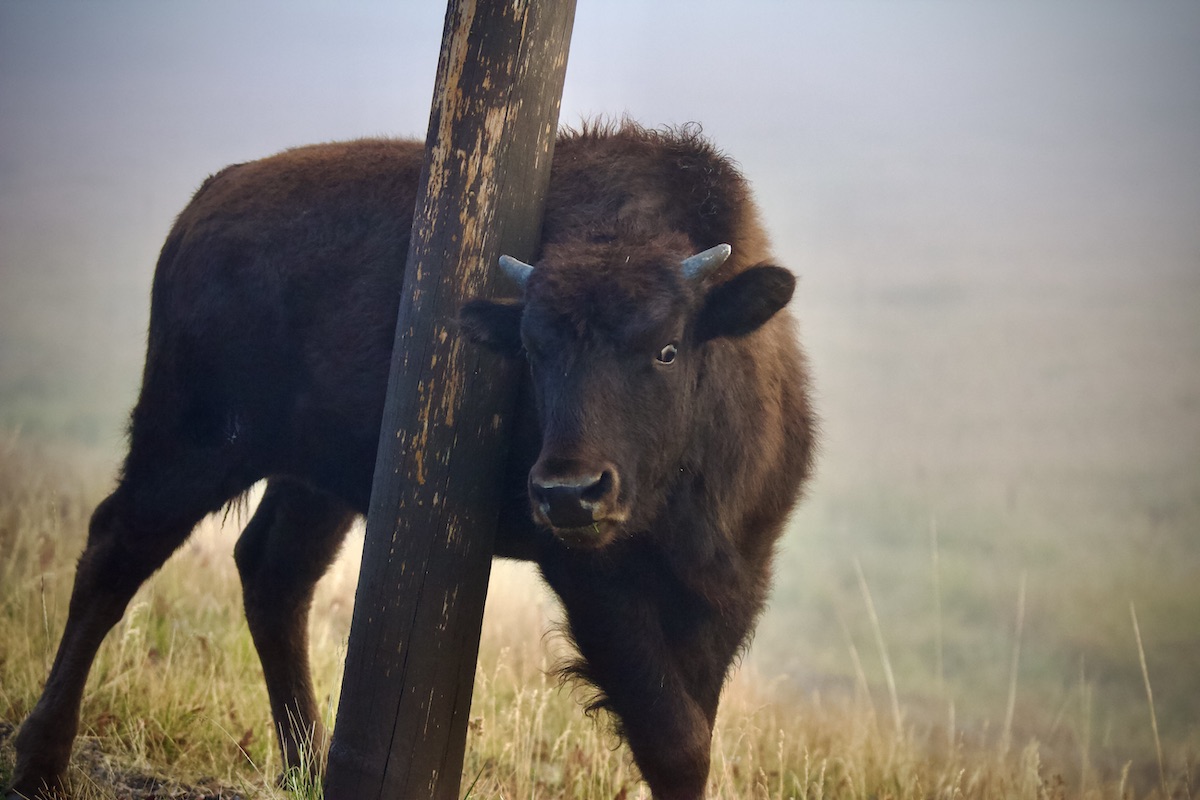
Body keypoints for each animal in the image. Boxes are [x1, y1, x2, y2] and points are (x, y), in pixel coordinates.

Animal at [7, 122, 816, 800]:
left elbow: (691, 728)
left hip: (312, 482)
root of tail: (208, 198)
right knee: (114, 554)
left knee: (272, 575)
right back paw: (40, 763)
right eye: (533, 350)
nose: (568, 493)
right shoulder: (596, 582)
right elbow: (673, 736)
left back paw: (309, 769)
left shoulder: (730, 582)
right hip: (191, 444)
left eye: (667, 347)